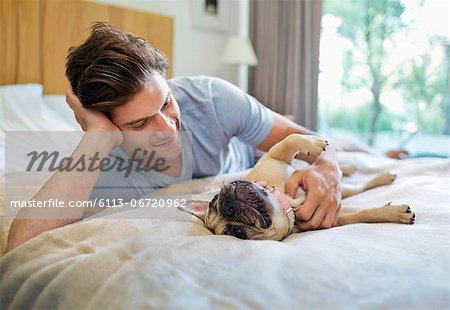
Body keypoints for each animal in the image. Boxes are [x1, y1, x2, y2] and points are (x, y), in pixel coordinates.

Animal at [180, 134, 414, 241]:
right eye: (238, 233)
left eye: (213, 201)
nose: (228, 205)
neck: (288, 203)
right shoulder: (335, 217)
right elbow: (362, 213)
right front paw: (394, 213)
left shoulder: (275, 157)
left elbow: (289, 141)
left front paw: (315, 144)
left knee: (354, 182)